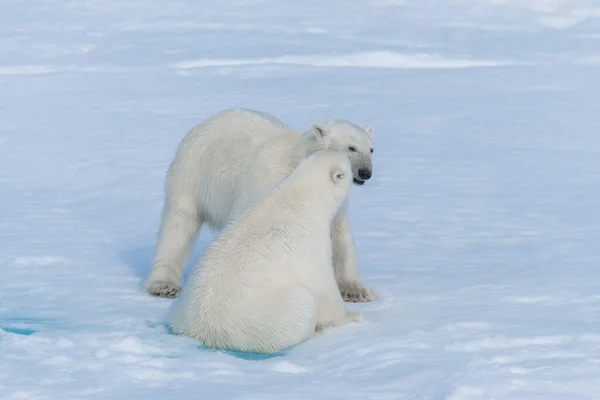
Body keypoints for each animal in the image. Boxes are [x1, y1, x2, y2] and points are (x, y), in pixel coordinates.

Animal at [144, 108, 376, 302]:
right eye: (351, 147)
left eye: (371, 149)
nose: (365, 172)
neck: (298, 162)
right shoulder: (265, 184)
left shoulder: (333, 201)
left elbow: (340, 238)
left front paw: (356, 291)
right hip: (193, 174)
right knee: (179, 225)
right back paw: (163, 285)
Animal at [169, 150, 366, 354]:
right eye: (348, 157)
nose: (362, 172)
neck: (302, 193)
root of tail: (196, 328)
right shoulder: (310, 241)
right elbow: (322, 284)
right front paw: (352, 316)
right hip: (259, 318)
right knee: (302, 306)